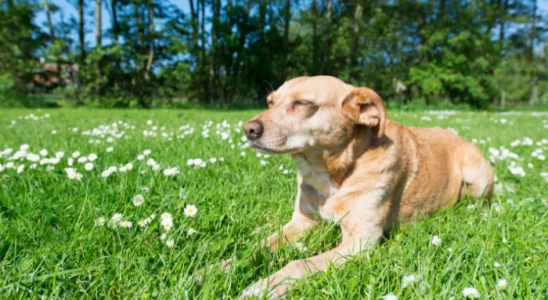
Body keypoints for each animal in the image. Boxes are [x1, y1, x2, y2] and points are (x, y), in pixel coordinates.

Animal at [231, 76, 492, 298]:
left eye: (303, 103)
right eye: (270, 102)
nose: (248, 129)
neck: (334, 176)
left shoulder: (362, 239)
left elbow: (300, 264)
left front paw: (265, 286)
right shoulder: (300, 223)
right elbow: (255, 248)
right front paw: (224, 267)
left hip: (476, 178)